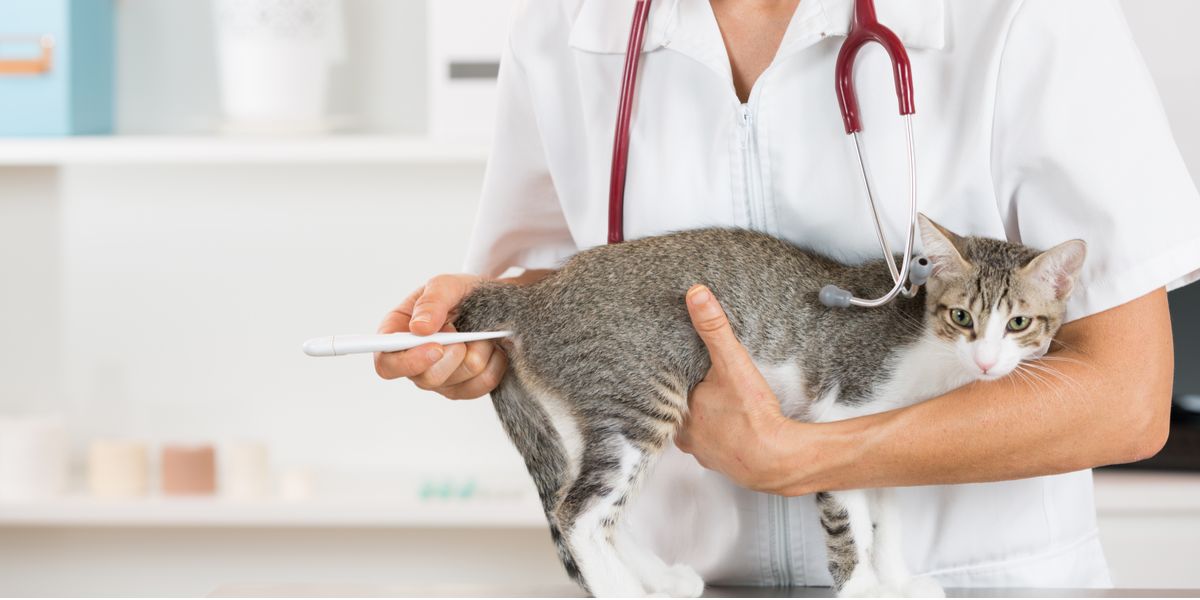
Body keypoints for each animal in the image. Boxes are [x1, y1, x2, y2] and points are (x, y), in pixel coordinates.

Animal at [451, 213, 1089, 597]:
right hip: (639, 394)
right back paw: (624, 590)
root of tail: (536, 294)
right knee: (577, 512)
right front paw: (862, 585)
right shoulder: (837, 416)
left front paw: (898, 579)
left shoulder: (886, 439)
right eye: (962, 317)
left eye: (1019, 324)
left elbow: (889, 514)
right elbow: (850, 522)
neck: (930, 355)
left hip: (593, 411)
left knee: (585, 500)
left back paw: (659, 578)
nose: (986, 361)